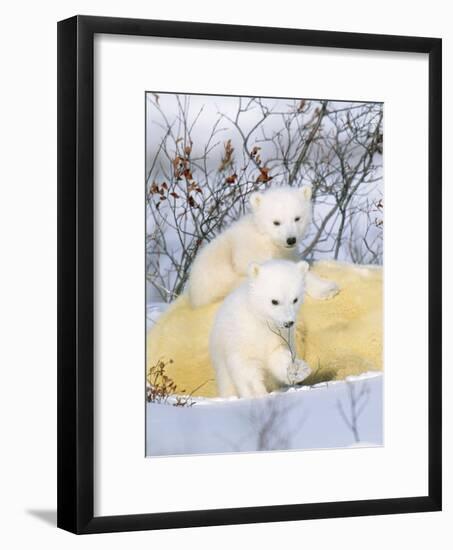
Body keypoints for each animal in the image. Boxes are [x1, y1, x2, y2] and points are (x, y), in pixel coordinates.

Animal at [185, 183, 338, 308]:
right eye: (276, 222)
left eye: (297, 218)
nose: (291, 240)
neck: (266, 238)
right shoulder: (251, 252)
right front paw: (327, 289)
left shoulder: (287, 252)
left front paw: (328, 288)